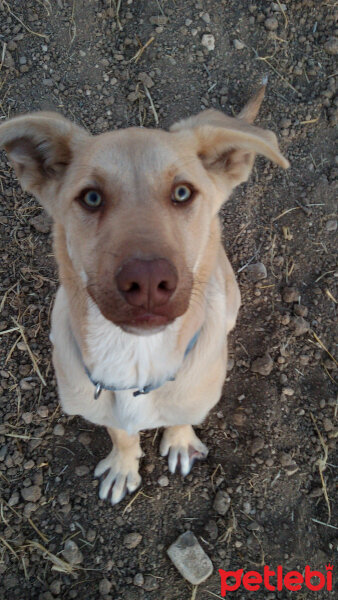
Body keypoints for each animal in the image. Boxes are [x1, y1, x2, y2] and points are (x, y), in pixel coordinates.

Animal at [0, 83, 288, 506]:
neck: (134, 357)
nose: (149, 282)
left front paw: (180, 441)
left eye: (182, 192)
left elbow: (181, 418)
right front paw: (123, 466)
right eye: (91, 198)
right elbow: (121, 434)